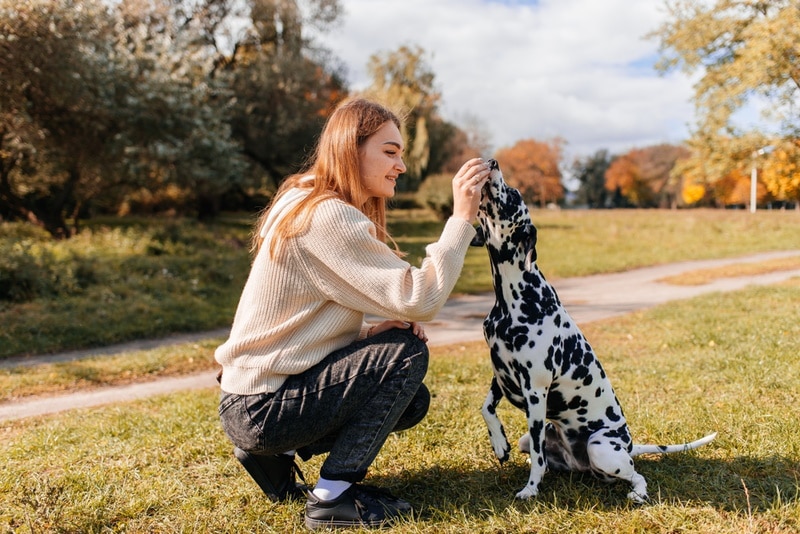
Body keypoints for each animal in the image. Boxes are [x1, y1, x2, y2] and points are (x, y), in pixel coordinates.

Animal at [472, 158, 716, 502]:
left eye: (514, 195)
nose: (493, 162)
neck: (514, 296)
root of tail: (629, 445)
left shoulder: (535, 389)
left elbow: (537, 457)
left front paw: (530, 489)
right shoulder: (502, 374)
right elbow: (486, 408)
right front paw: (498, 443)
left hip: (601, 447)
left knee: (636, 474)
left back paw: (637, 494)